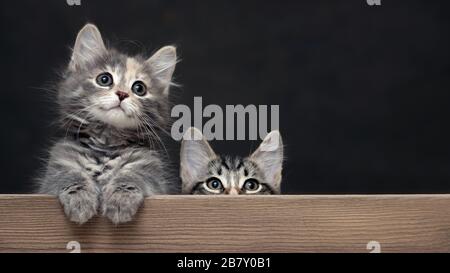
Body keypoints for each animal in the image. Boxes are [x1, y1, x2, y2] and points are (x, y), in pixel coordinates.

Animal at [37, 23, 178, 223]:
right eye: (104, 79)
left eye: (139, 88)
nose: (122, 94)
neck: (106, 143)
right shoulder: (58, 164)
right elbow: (70, 175)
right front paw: (80, 200)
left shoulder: (152, 172)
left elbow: (133, 175)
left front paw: (121, 199)